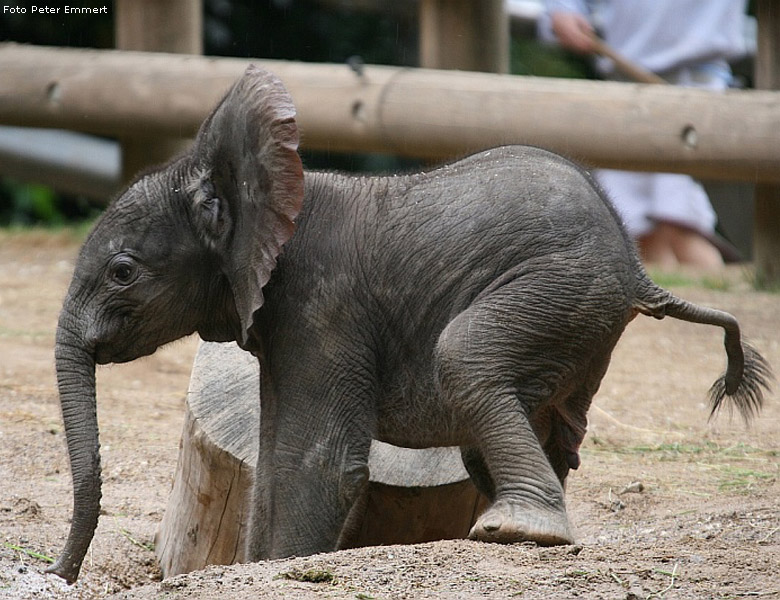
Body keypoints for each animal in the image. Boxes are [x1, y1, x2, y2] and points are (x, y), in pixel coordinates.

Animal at [50, 64, 772, 580]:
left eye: (121, 272)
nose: (59, 574)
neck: (266, 189)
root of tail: (638, 269)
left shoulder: (323, 305)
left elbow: (317, 460)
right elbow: (275, 458)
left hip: (559, 287)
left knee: (464, 355)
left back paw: (518, 529)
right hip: (579, 316)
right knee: (541, 429)